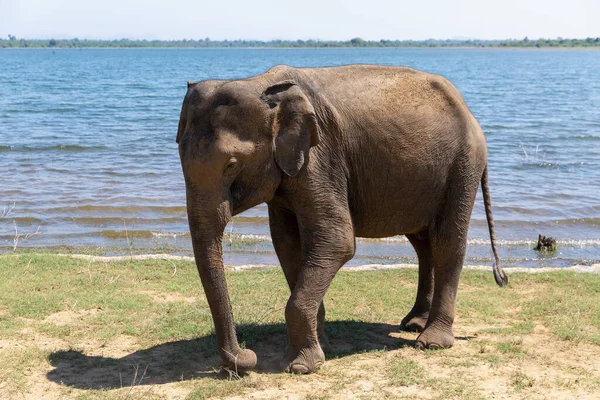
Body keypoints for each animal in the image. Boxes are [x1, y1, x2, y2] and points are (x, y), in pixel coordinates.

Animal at [176, 65, 508, 376]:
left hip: (463, 166)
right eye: (180, 158)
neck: (260, 84)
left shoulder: (320, 158)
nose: (245, 360)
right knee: (422, 244)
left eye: (231, 165)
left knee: (446, 242)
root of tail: (468, 110)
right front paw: (319, 346)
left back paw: (431, 342)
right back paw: (414, 323)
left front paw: (300, 367)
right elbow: (287, 245)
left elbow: (337, 241)